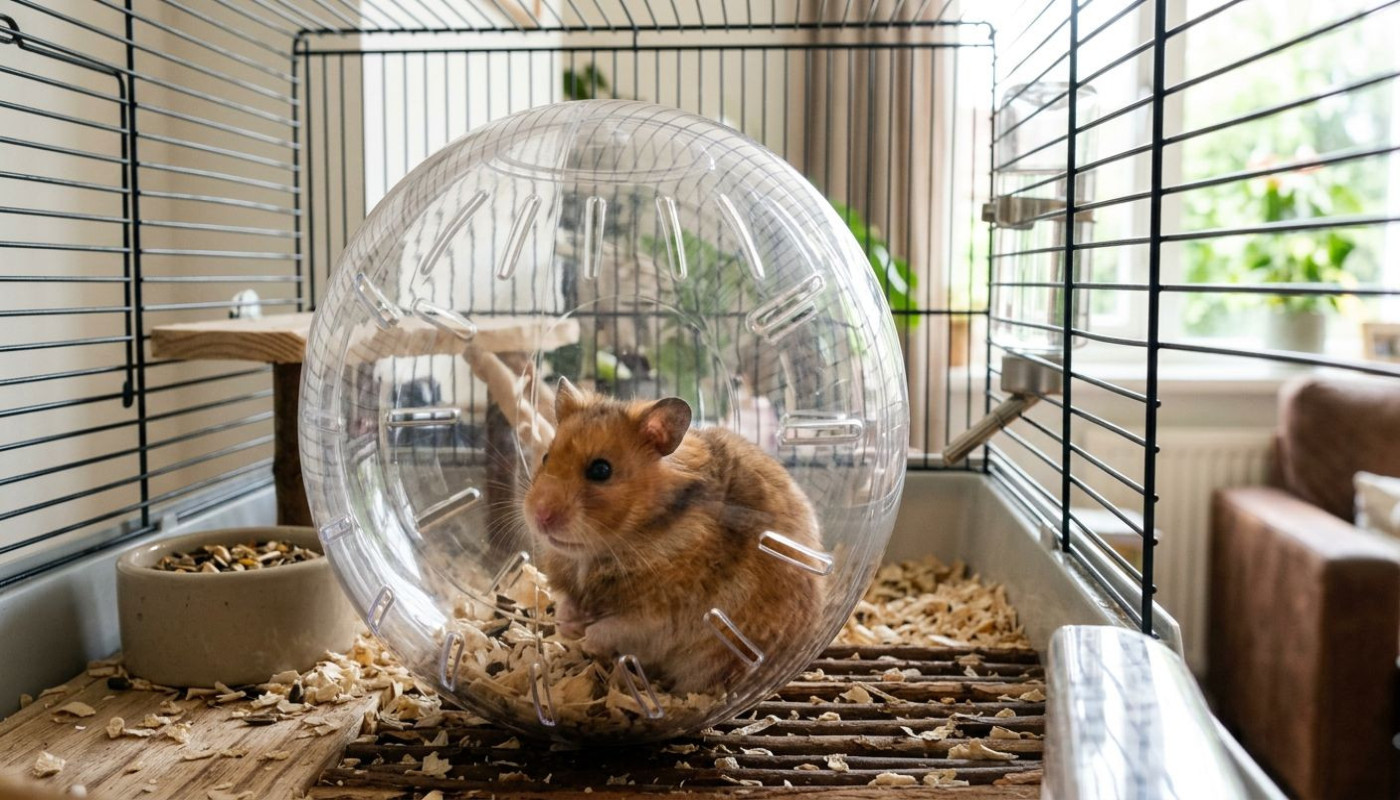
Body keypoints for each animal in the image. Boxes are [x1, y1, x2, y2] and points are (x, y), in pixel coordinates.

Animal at [522, 378, 824, 695]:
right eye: (545, 457)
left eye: (601, 470)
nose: (540, 516)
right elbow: (567, 605)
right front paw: (568, 627)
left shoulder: (659, 617)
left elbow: (613, 628)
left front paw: (587, 638)